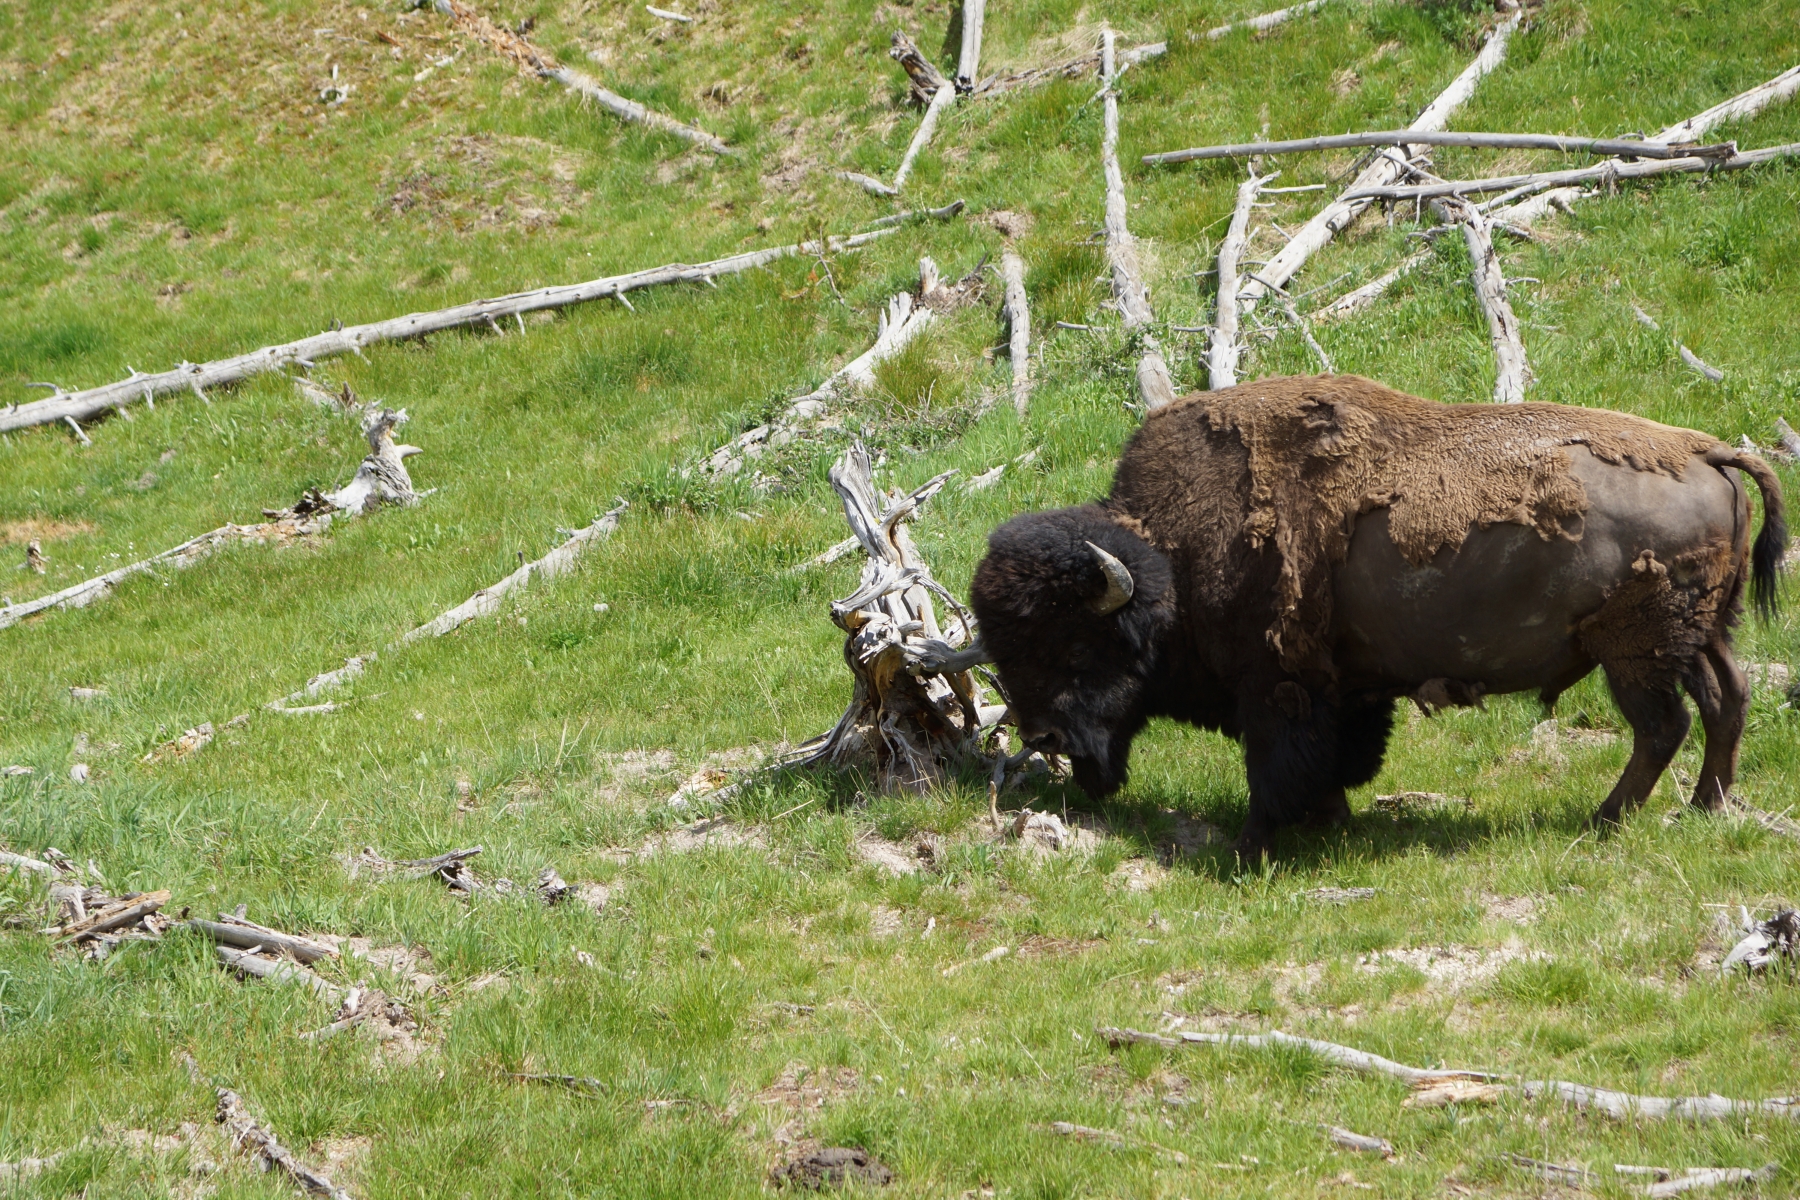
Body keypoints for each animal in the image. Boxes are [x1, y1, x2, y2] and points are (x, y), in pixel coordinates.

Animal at [968, 375, 1788, 861]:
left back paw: (1606, 820)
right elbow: (1334, 762)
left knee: (1663, 726)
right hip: (1701, 637)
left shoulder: (1279, 689)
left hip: (1635, 651)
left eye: (1077, 646)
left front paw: (1250, 846)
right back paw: (1703, 810)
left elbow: (1279, 767)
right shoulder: (1344, 689)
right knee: (1728, 701)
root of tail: (1707, 453)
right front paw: (1331, 822)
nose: (1042, 736)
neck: (1175, 552)